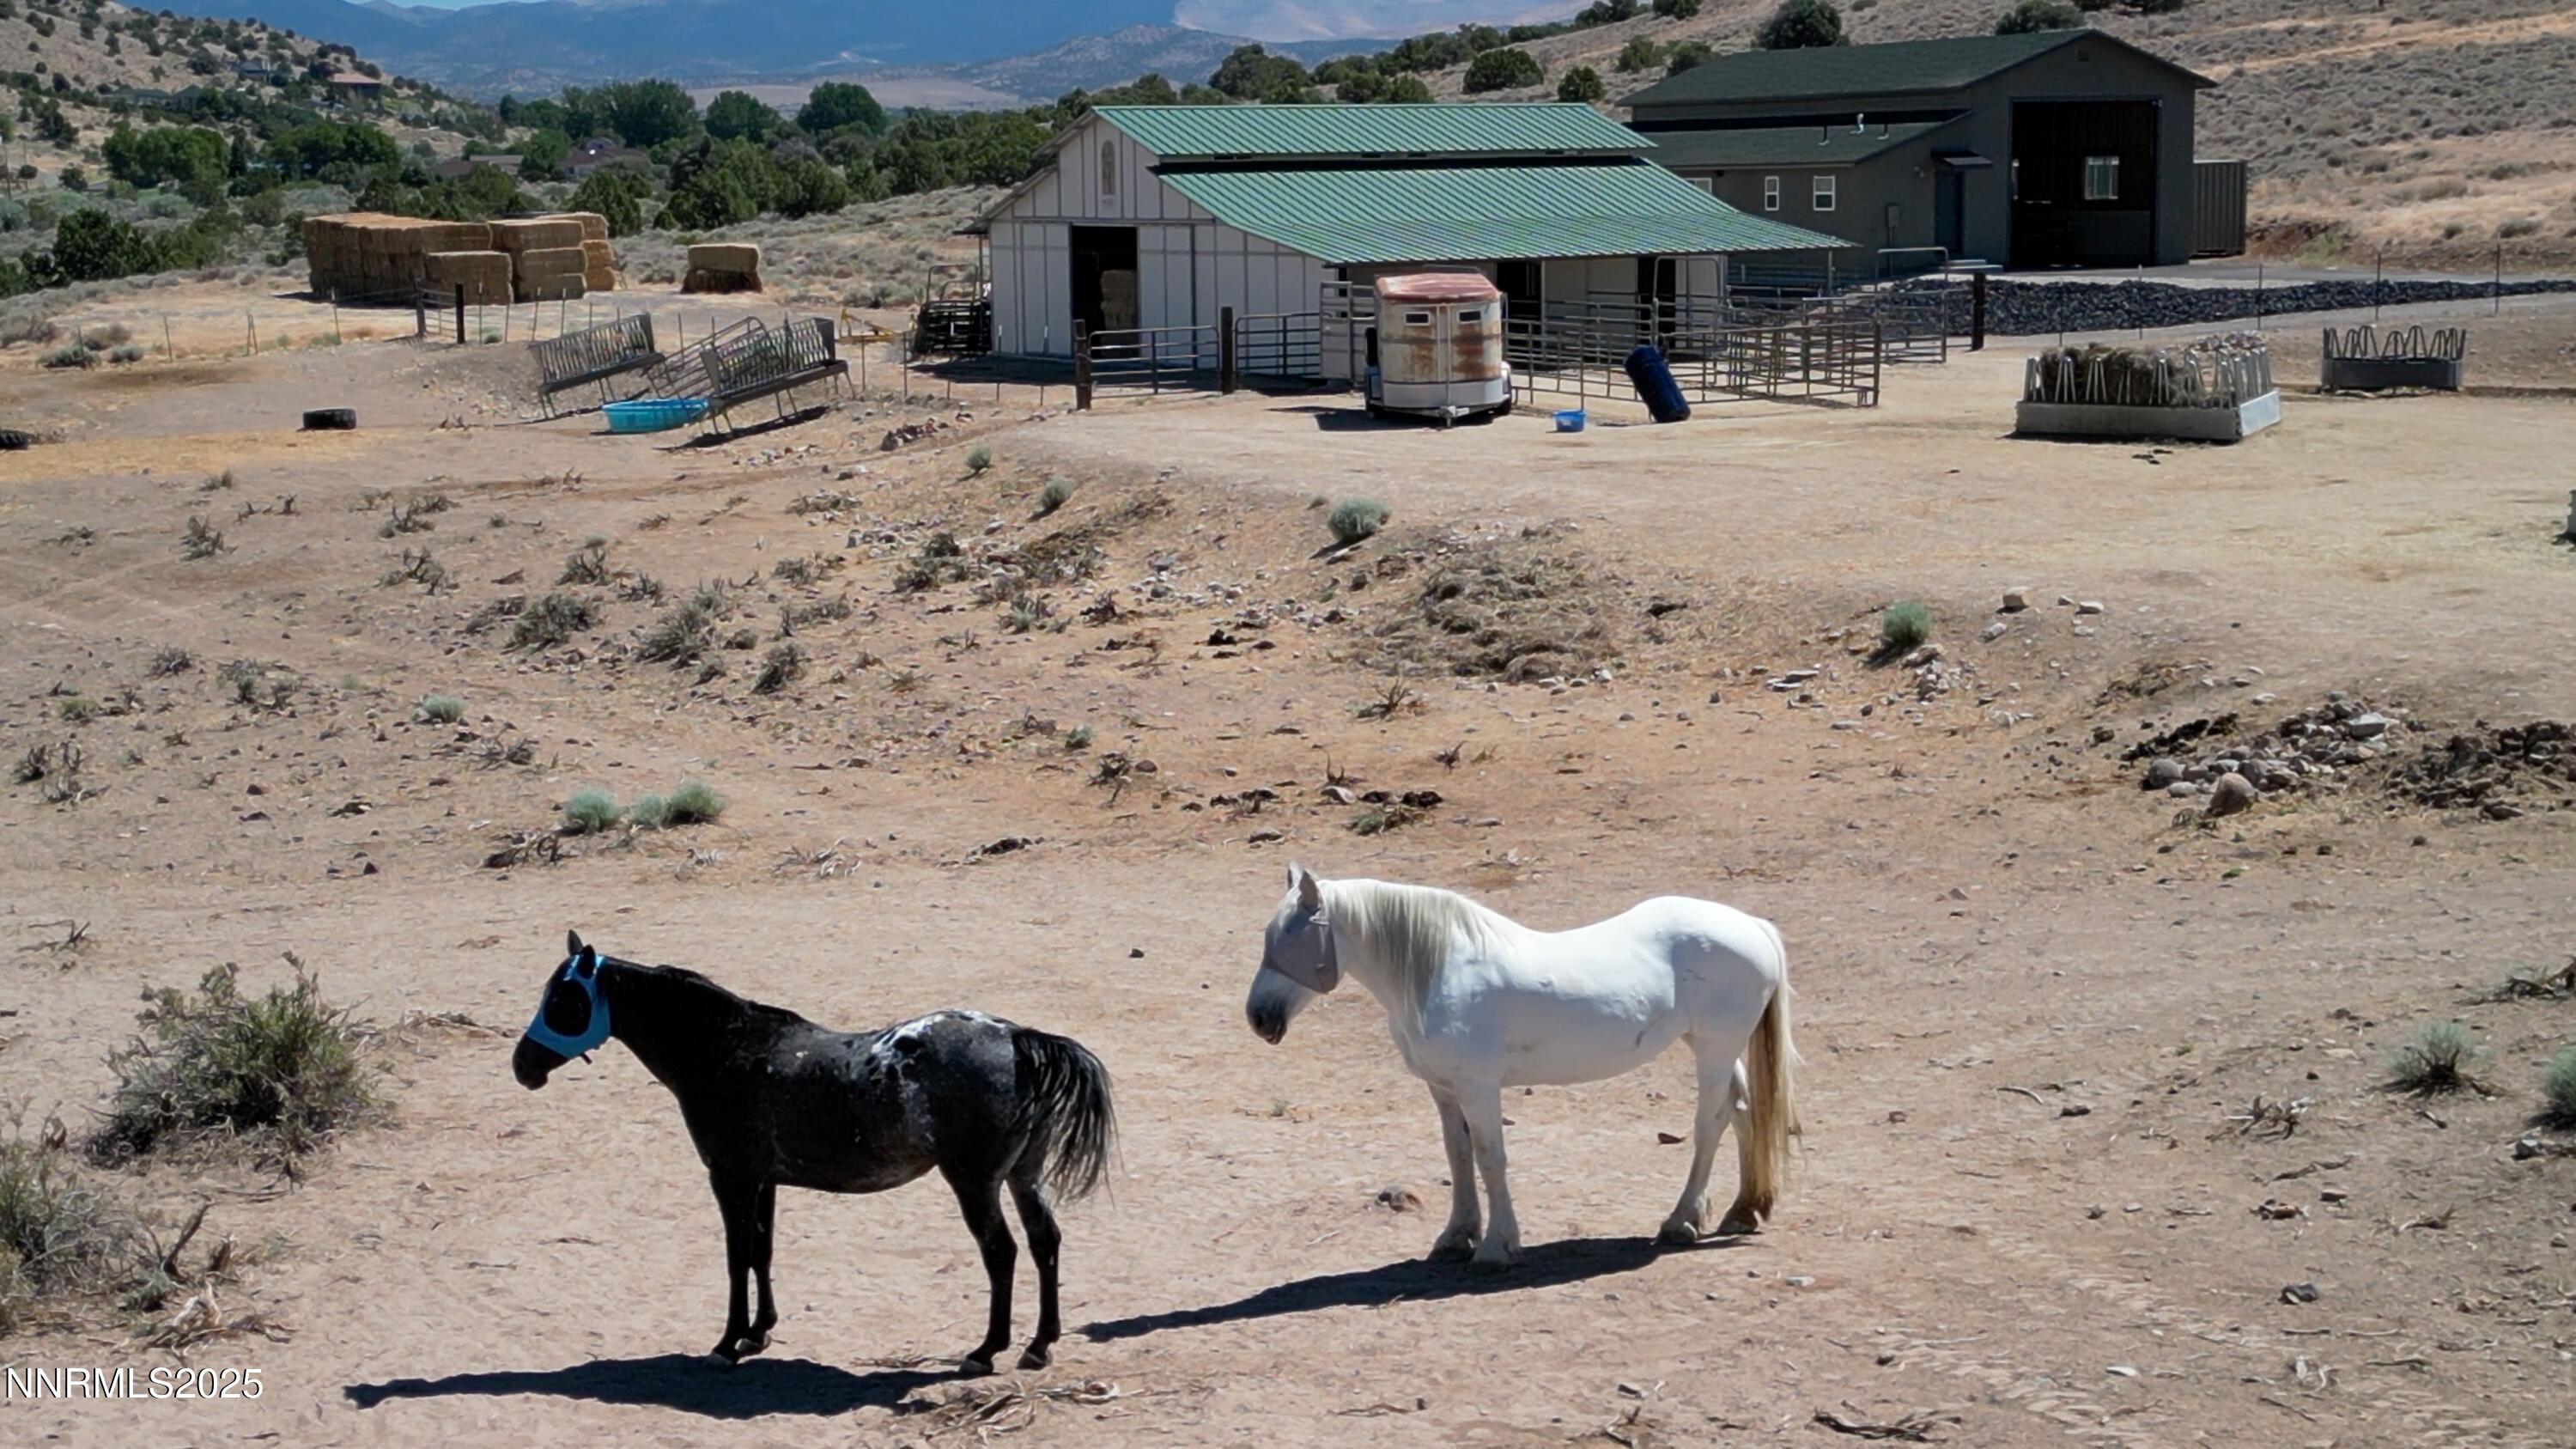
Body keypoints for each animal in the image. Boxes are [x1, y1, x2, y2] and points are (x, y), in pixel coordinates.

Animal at [510, 931, 1116, 1373]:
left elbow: (736, 1257)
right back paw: (1038, 1346)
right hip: (1023, 1175)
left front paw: (726, 1343)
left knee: (1002, 1252)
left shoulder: (730, 1177)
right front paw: (758, 1333)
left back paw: (985, 1351)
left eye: (564, 1000)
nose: (522, 1066)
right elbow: (762, 1252)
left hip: (974, 1181)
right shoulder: (764, 1181)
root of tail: (1017, 1038)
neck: (724, 1051)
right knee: (1044, 1243)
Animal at [1243, 866, 1796, 1270]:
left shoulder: (1479, 1088)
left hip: (1715, 1049)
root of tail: (1753, 927)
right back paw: (1743, 1210)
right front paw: (1456, 1237)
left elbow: (1491, 1160)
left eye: (1291, 937)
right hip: (1719, 1048)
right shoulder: (1444, 1090)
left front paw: (1496, 1247)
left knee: (1711, 1125)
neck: (1437, 972)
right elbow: (1458, 1158)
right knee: (1742, 1111)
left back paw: (1682, 1222)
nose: (1258, 1017)